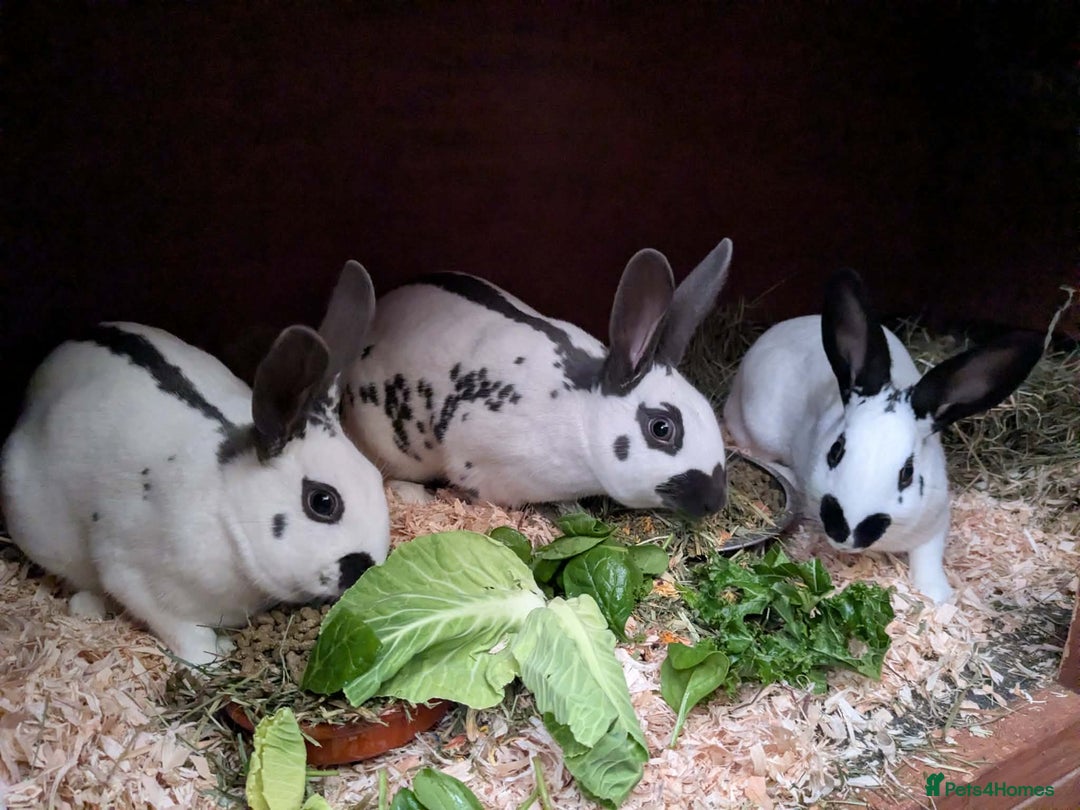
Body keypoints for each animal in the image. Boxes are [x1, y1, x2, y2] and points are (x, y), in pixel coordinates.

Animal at [0, 261, 391, 666]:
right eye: (323, 501)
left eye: (375, 480)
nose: (364, 568)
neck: (229, 513)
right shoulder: (133, 574)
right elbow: (183, 632)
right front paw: (212, 659)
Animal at [723, 268, 1043, 603]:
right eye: (836, 451)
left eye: (908, 473)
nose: (848, 532)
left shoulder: (936, 521)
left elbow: (928, 556)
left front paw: (938, 595)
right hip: (759, 424)